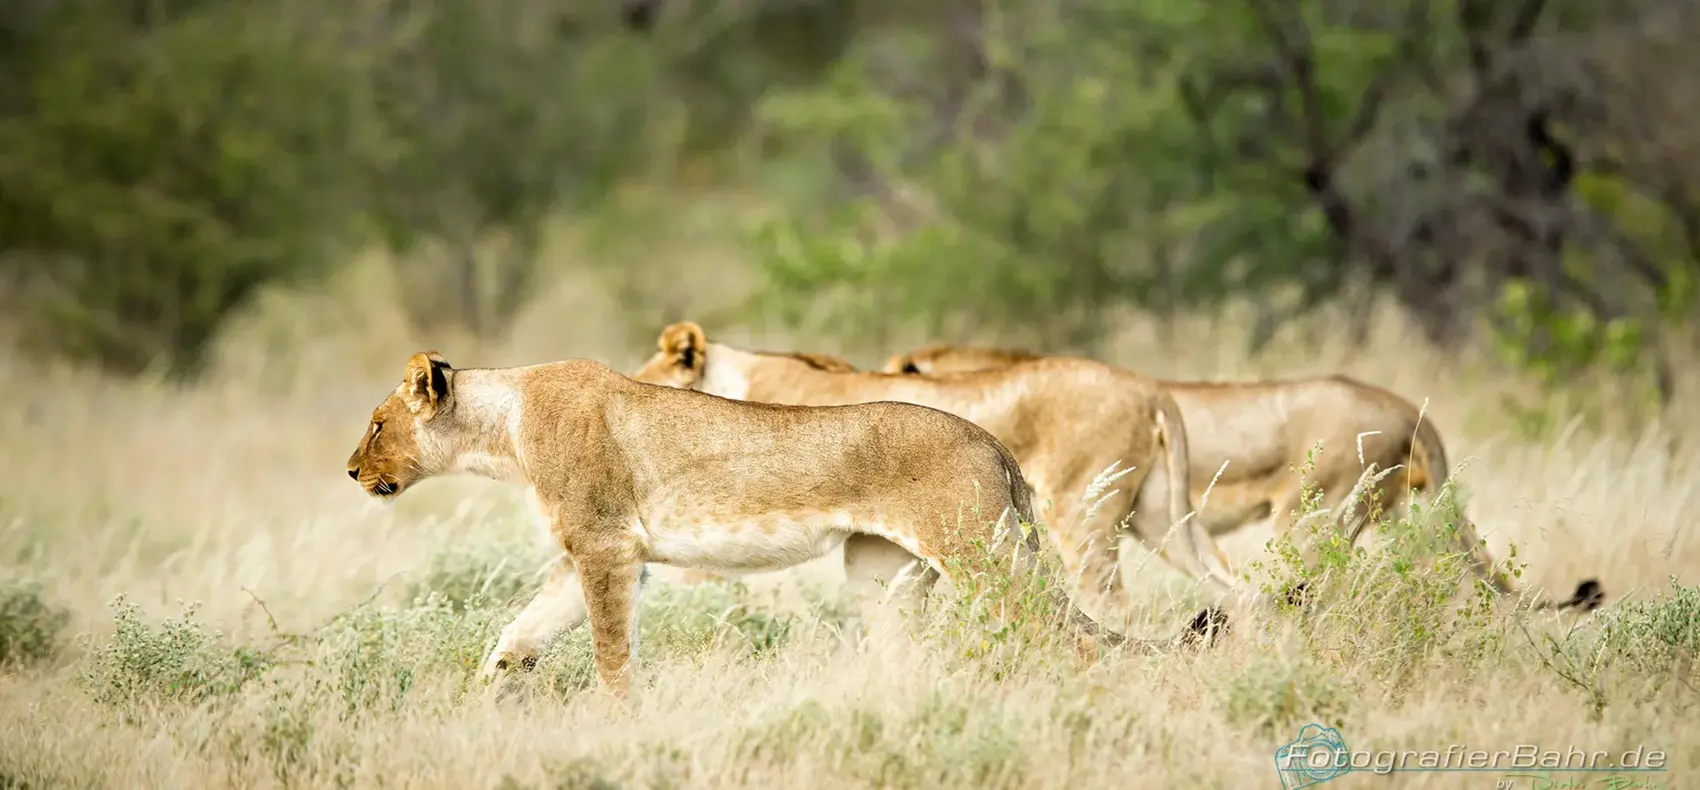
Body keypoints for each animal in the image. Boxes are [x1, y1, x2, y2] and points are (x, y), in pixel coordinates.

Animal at [345, 351, 1226, 695]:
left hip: (985, 552)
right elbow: (520, 633)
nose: (350, 472)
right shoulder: (596, 553)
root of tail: (990, 440)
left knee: (1070, 635)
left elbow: (610, 652)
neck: (502, 429)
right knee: (905, 653)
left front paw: (613, 717)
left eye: (378, 423)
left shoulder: (606, 545)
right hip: (880, 572)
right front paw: (489, 696)